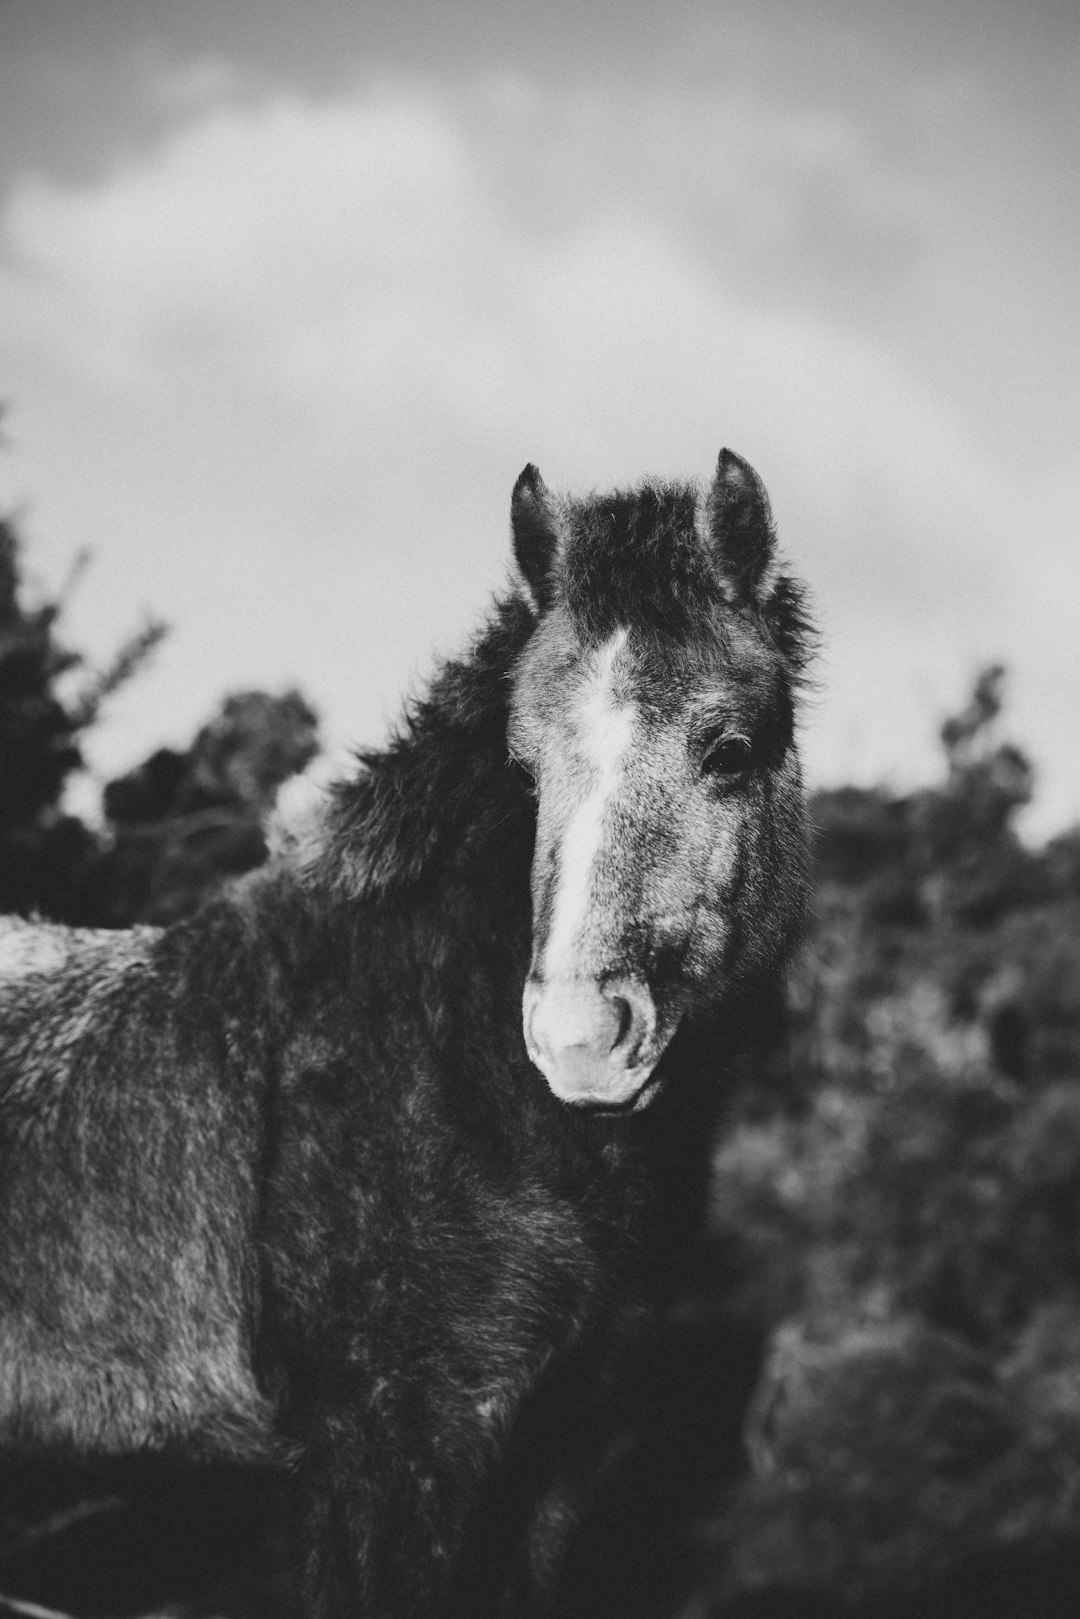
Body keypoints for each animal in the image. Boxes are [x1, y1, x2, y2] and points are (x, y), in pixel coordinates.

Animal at [0, 446, 809, 1619]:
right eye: (525, 767)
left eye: (731, 749)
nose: (579, 1040)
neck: (443, 1076)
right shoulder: (390, 1460)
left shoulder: (554, 1471)